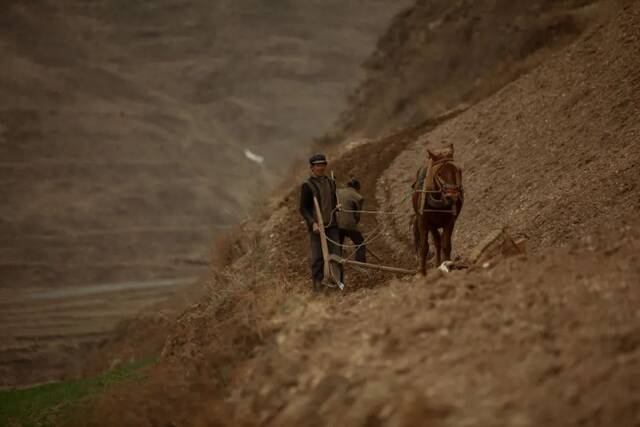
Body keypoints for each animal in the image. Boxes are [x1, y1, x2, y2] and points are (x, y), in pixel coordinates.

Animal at [412, 145, 462, 276]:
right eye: (439, 173)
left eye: (457, 171)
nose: (452, 196)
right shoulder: (424, 221)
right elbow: (424, 246)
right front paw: (421, 272)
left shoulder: (449, 221)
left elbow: (446, 244)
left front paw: (448, 265)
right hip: (432, 225)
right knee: (436, 241)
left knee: (440, 241)